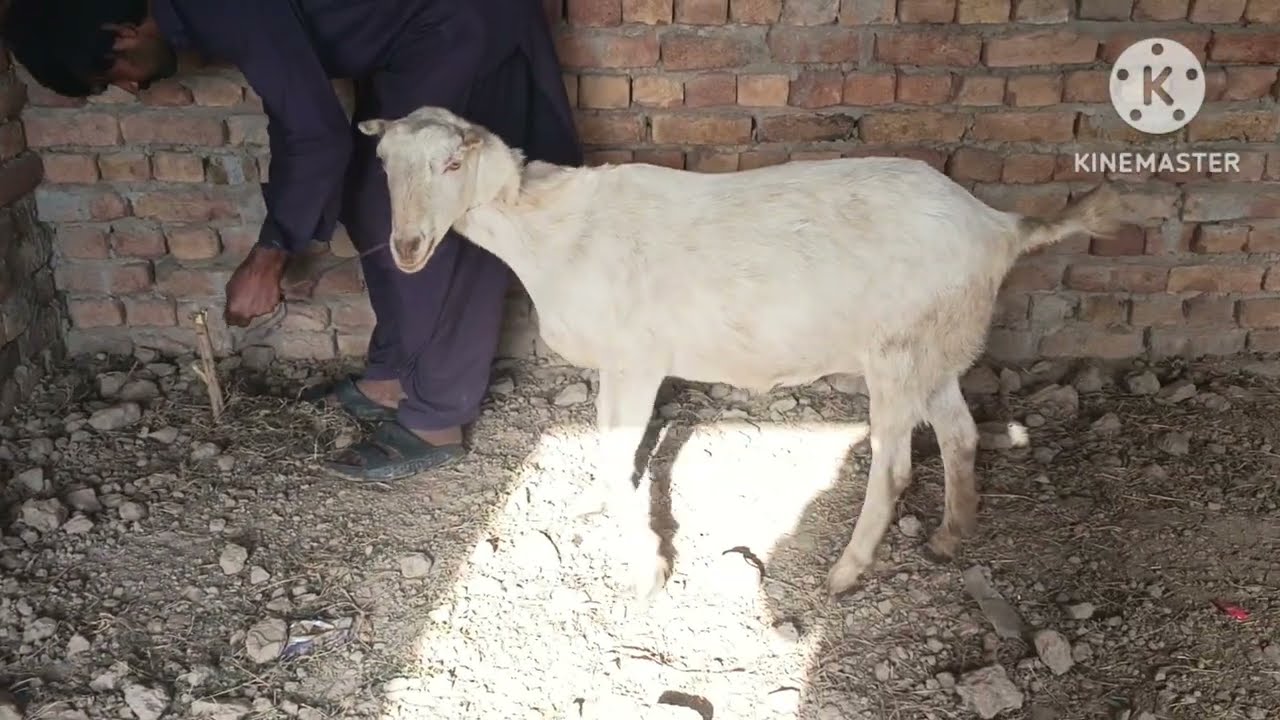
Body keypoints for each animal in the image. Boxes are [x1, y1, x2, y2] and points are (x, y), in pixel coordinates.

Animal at [357, 106, 1124, 602]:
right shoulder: (615, 362)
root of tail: (1000, 226)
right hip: (939, 343)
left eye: (453, 161)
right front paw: (604, 519)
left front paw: (647, 570)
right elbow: (607, 456)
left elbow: (613, 459)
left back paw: (846, 572)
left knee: (897, 466)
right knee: (961, 435)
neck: (550, 233)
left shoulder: (638, 357)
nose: (406, 248)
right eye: (383, 166)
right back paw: (952, 535)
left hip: (897, 350)